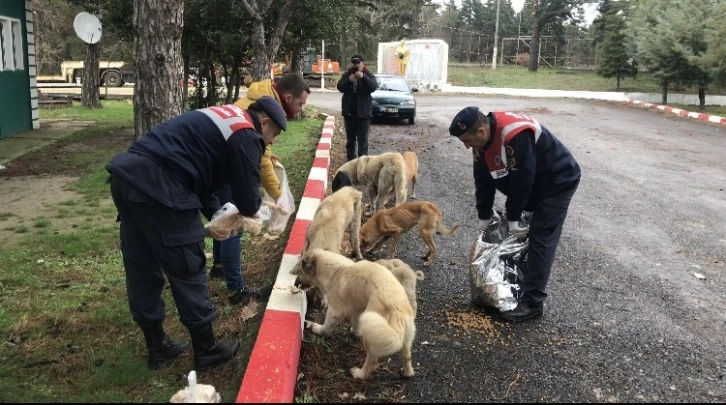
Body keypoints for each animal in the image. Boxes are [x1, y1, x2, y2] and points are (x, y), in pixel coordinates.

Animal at [294, 248, 418, 380]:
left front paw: (315, 328)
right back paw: (407, 373)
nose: (295, 285)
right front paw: (355, 332)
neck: (335, 271)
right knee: (407, 357)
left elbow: (325, 327)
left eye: (299, 270)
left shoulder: (334, 311)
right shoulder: (357, 310)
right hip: (405, 338)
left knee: (373, 361)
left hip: (372, 335)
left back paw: (359, 374)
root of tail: (397, 307)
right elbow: (355, 323)